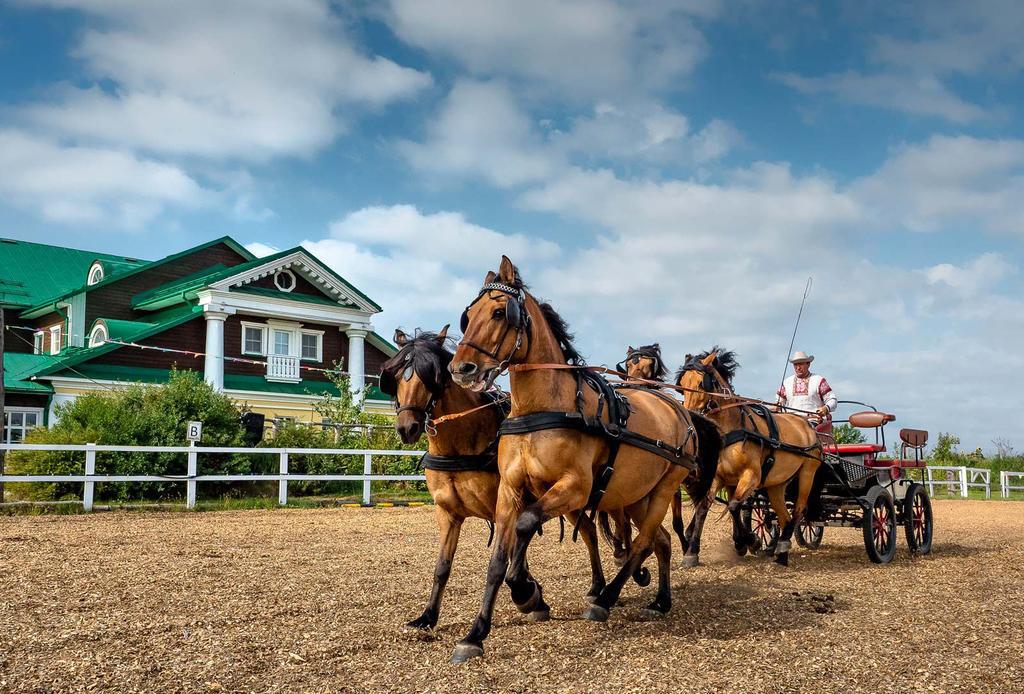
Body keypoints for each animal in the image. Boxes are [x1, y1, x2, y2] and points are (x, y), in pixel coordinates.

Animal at [382, 325, 618, 630]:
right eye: (398, 376)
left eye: (431, 377)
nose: (406, 428)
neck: (460, 443)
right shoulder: (448, 513)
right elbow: (442, 567)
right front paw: (428, 616)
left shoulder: (504, 504)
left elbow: (511, 555)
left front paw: (531, 595)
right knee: (588, 529)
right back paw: (596, 587)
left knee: (588, 531)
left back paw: (600, 588)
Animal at [448, 256, 720, 663]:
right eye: (468, 315)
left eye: (499, 312)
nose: (460, 369)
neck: (543, 408)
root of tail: (680, 410)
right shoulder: (510, 490)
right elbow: (497, 561)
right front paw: (475, 634)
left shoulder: (574, 489)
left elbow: (526, 526)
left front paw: (525, 591)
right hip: (635, 495)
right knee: (662, 541)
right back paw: (660, 600)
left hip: (663, 489)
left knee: (643, 543)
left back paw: (606, 599)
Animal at [679, 350, 823, 569]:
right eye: (682, 385)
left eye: (700, 384)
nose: (692, 417)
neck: (731, 429)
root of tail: (807, 424)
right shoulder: (719, 478)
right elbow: (705, 506)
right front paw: (692, 552)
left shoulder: (752, 476)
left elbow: (734, 506)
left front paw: (748, 541)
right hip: (776, 485)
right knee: (785, 517)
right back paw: (781, 551)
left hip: (807, 473)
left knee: (798, 511)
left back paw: (781, 548)